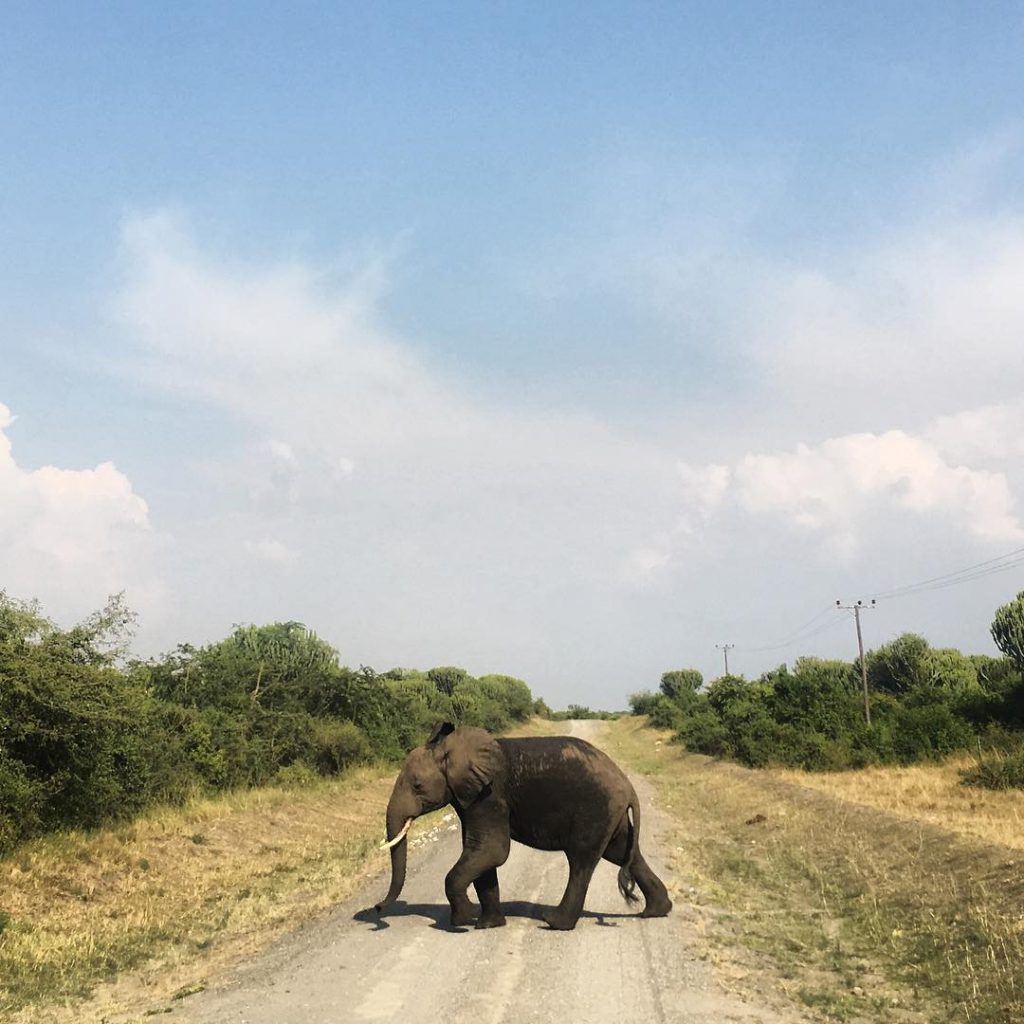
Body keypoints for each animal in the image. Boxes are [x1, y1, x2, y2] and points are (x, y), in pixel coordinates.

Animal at [374, 724, 671, 933]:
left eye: (417, 786)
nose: (377, 908)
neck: (452, 750)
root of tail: (628, 786)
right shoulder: (471, 799)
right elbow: (482, 855)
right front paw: (487, 924)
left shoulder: (490, 795)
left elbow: (492, 851)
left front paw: (463, 918)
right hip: (611, 815)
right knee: (622, 853)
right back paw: (657, 911)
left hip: (595, 811)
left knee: (581, 861)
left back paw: (553, 922)